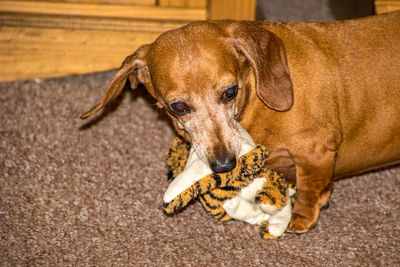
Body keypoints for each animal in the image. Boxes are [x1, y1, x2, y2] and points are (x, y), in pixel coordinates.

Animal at [80, 12, 400, 234]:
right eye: (178, 107)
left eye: (230, 92)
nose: (224, 165)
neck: (256, 102)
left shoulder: (317, 151)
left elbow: (312, 188)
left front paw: (299, 218)